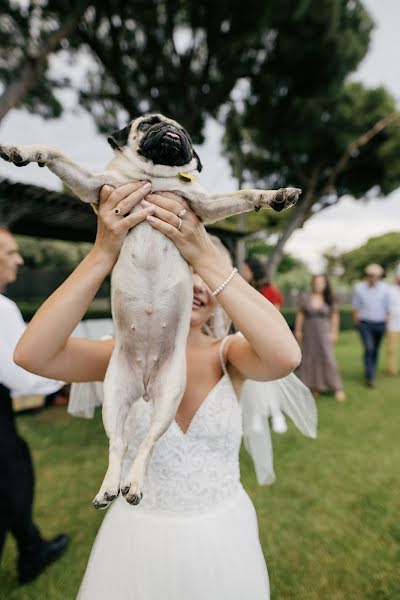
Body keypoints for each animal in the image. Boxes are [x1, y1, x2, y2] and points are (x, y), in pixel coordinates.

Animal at [0, 113, 300, 506]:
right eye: (149, 123)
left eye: (186, 133)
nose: (171, 131)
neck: (155, 176)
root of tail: (143, 384)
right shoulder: (97, 187)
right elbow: (55, 153)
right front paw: (21, 151)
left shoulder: (203, 205)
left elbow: (245, 195)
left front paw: (275, 196)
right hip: (114, 398)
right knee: (119, 444)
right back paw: (110, 486)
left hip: (168, 397)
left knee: (145, 444)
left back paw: (133, 484)